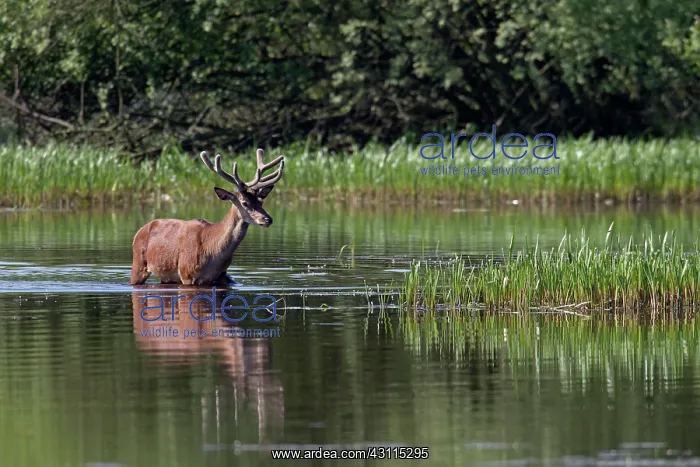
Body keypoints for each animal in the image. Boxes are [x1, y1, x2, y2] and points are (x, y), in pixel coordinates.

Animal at [129, 149, 284, 286]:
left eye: (260, 201)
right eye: (245, 203)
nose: (267, 219)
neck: (212, 249)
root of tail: (140, 231)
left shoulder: (222, 275)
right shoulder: (186, 272)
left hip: (166, 276)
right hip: (139, 262)